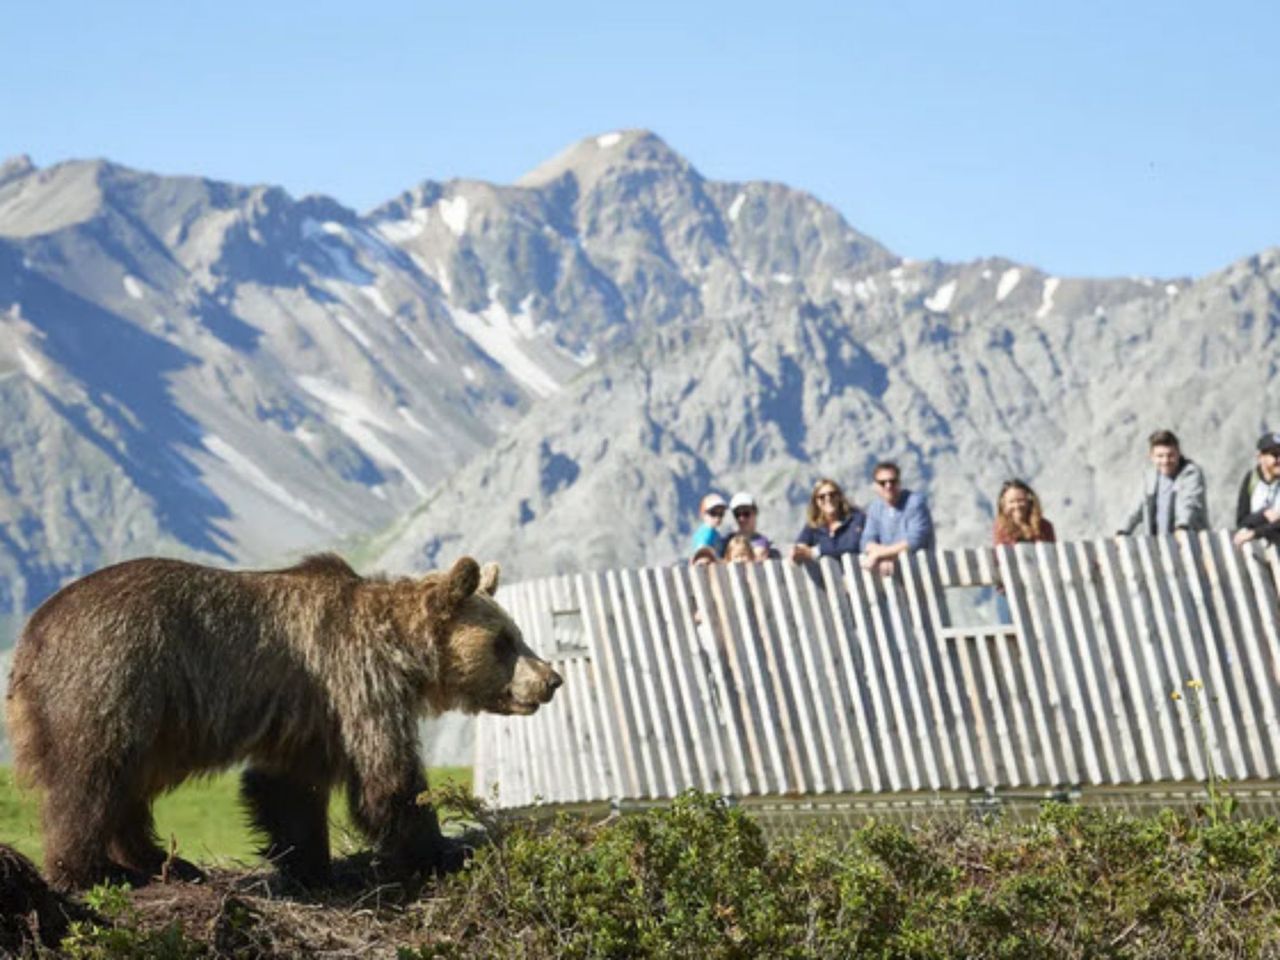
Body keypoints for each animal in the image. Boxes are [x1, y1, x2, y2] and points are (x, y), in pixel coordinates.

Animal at [4, 553, 562, 891]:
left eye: (517, 635)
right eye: (504, 641)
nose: (551, 679)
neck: (402, 654)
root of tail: (31, 636)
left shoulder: (314, 713)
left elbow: (288, 789)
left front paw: (310, 863)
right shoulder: (357, 683)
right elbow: (389, 781)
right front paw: (441, 851)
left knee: (126, 786)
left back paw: (166, 861)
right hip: (114, 678)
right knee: (92, 776)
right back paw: (92, 870)